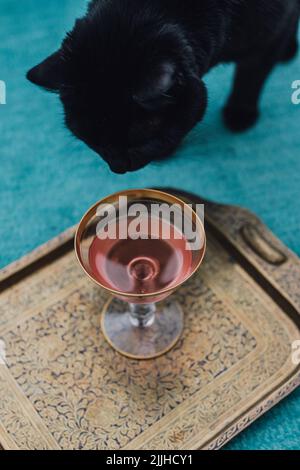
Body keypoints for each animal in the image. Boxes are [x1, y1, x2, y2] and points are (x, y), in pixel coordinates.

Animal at [27, 0, 298, 173]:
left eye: (140, 140)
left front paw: (240, 113)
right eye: (91, 140)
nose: (117, 168)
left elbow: (251, 77)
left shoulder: (271, 33)